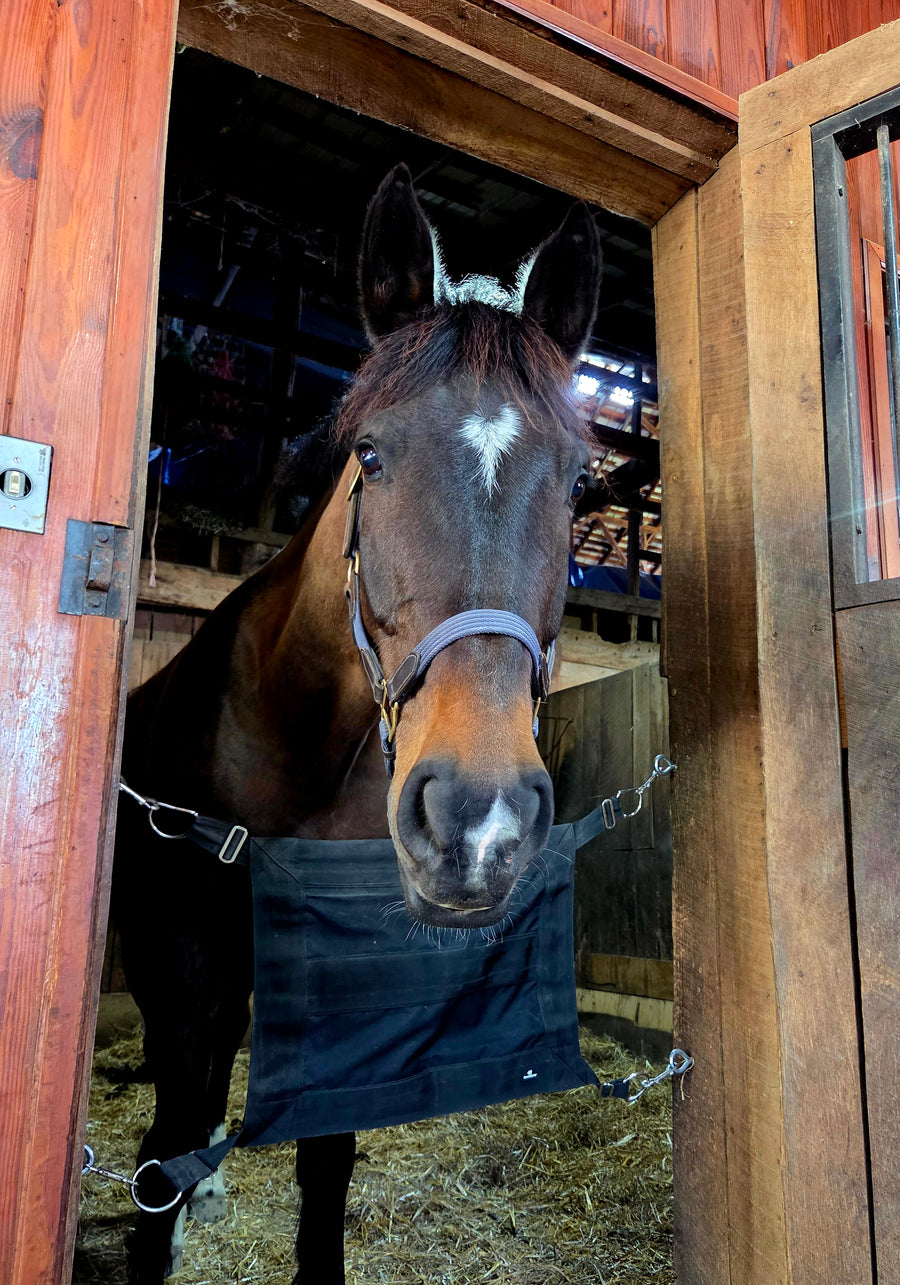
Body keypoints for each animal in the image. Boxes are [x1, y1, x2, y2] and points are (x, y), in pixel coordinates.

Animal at [111, 163, 602, 1283]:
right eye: (369, 457)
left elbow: (324, 1165)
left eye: (579, 480)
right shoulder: (189, 984)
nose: (478, 821)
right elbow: (161, 1158)